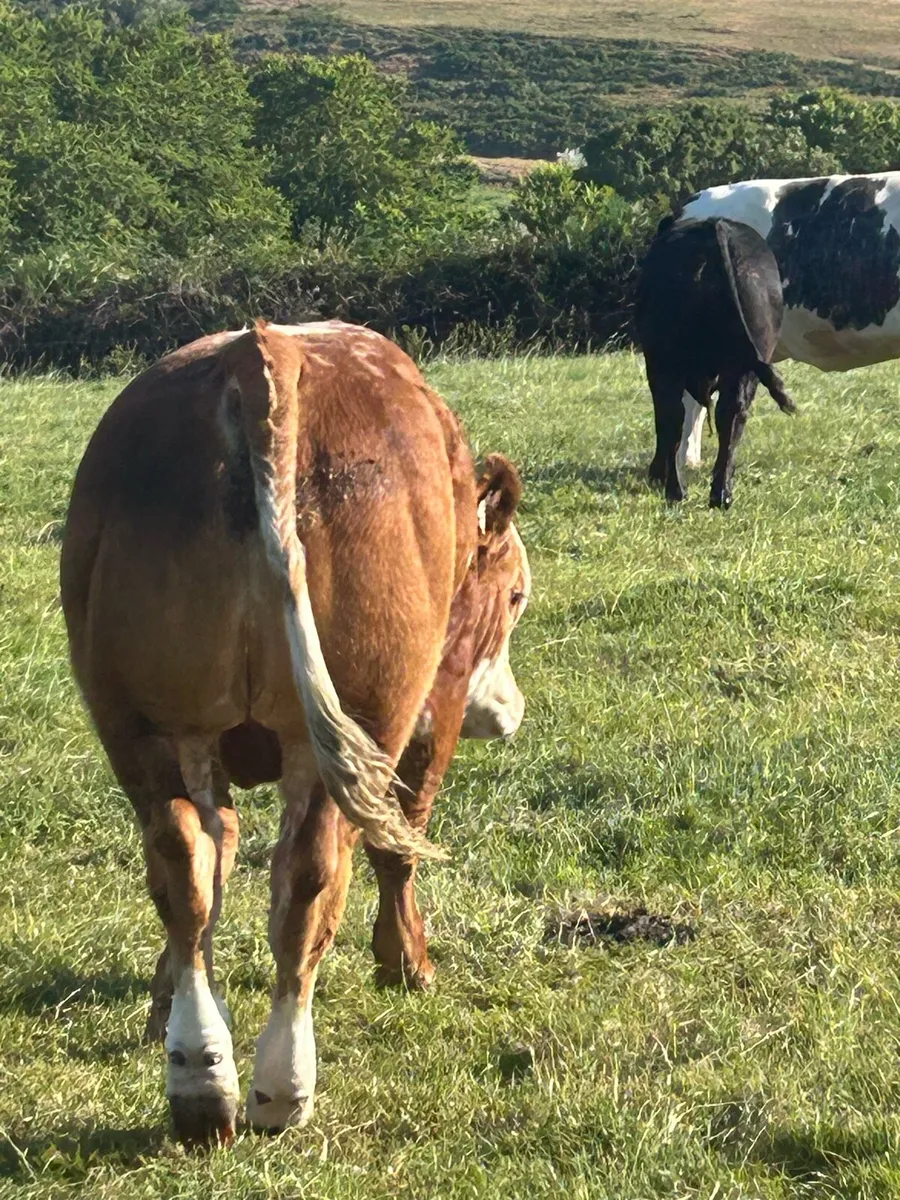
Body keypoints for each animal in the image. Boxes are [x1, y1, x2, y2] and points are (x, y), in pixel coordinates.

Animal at [60, 319, 531, 1148]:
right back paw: (282, 1085)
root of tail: (260, 350)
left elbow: (217, 861)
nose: (508, 712)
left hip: (139, 723)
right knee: (312, 872)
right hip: (358, 718)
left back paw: (198, 1074)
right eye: (514, 596)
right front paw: (406, 962)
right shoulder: (428, 706)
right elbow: (399, 841)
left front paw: (160, 1000)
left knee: (182, 860)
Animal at [636, 216, 794, 508]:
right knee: (731, 413)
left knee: (672, 415)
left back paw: (675, 489)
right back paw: (721, 493)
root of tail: (714, 226)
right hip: (744, 361)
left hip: (665, 361)